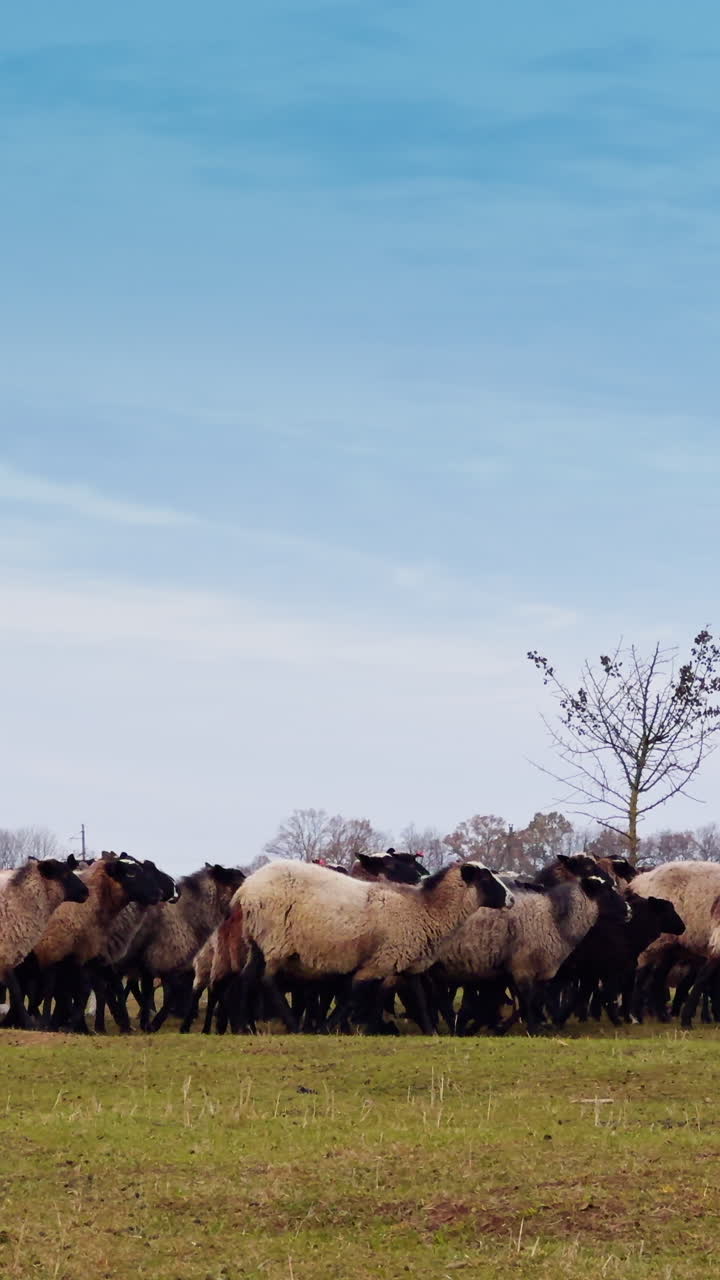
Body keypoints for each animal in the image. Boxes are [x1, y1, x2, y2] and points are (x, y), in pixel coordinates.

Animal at [238, 859, 512, 1034]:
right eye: (485, 878)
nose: (511, 899)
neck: (424, 910)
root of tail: (246, 887)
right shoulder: (380, 961)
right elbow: (353, 994)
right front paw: (327, 1028)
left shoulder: (407, 961)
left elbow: (417, 999)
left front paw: (430, 1031)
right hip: (276, 939)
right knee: (267, 981)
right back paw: (293, 1026)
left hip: (256, 940)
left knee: (246, 979)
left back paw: (244, 1027)